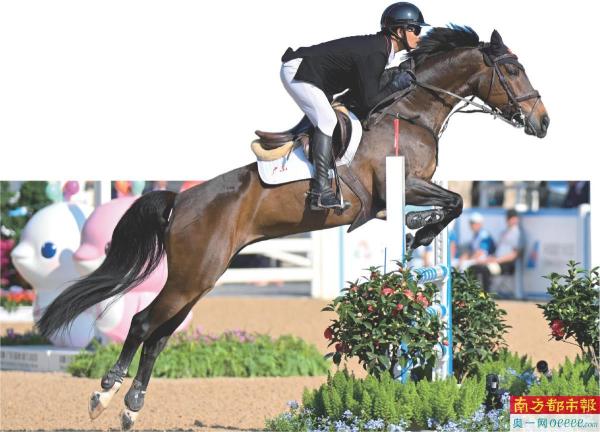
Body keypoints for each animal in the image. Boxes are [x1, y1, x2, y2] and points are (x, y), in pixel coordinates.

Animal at [37, 26, 549, 430]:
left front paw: (422, 229)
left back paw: (132, 406)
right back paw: (104, 395)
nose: (543, 123)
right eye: (514, 70)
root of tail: (181, 199)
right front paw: (422, 233)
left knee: (161, 334)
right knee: (144, 324)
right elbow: (455, 201)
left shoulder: (395, 201)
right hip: (190, 277)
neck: (412, 112)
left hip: (200, 278)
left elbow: (452, 204)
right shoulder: (397, 188)